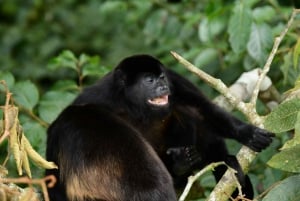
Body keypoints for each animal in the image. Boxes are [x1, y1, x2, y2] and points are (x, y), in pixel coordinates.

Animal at [45, 54, 274, 200]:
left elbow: (202, 108)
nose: (162, 87)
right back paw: (180, 165)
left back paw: (212, 161)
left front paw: (246, 133)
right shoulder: (97, 97)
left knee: (186, 112)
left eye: (161, 77)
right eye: (149, 80)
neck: (134, 106)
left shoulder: (174, 79)